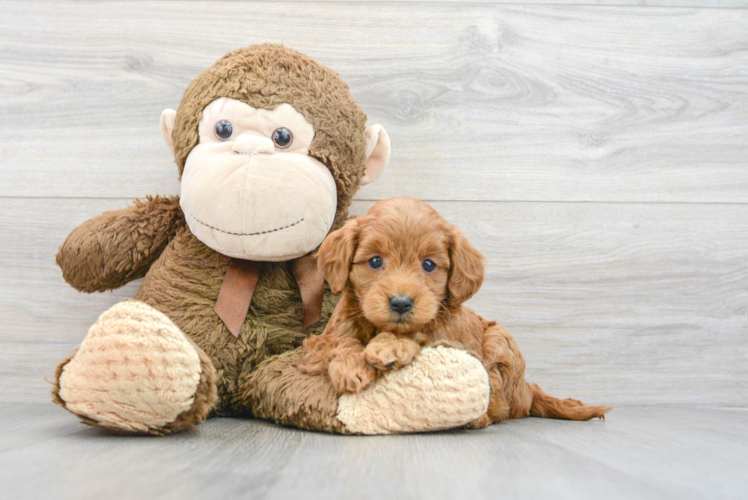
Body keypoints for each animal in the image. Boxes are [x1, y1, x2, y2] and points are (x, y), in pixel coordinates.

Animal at [300, 195, 612, 426]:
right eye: (375, 261)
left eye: (428, 264)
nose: (401, 303)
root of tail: (527, 388)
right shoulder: (323, 338)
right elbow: (338, 342)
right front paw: (350, 366)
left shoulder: (452, 338)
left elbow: (421, 333)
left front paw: (389, 347)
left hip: (500, 340)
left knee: (499, 403)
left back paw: (478, 418)